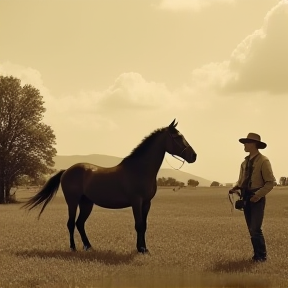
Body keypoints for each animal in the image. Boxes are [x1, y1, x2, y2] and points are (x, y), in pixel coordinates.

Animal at [23, 120, 197, 253]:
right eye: (178, 137)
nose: (194, 156)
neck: (139, 169)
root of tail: (67, 171)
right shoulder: (136, 202)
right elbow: (139, 225)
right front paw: (140, 249)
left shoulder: (147, 203)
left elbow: (144, 225)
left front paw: (144, 248)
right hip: (72, 202)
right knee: (71, 223)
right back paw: (73, 248)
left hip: (86, 203)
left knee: (80, 223)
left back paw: (88, 246)